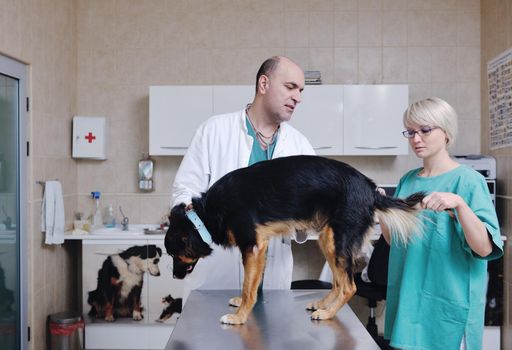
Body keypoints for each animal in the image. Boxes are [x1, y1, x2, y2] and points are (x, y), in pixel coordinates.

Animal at [165, 156, 424, 326]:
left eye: (174, 254)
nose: (175, 277)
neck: (204, 214)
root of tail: (371, 191)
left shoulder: (253, 247)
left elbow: (249, 287)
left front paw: (239, 317)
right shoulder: (260, 247)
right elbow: (251, 284)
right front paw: (241, 303)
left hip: (337, 241)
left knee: (350, 286)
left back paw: (328, 314)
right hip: (327, 239)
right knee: (338, 283)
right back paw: (323, 304)